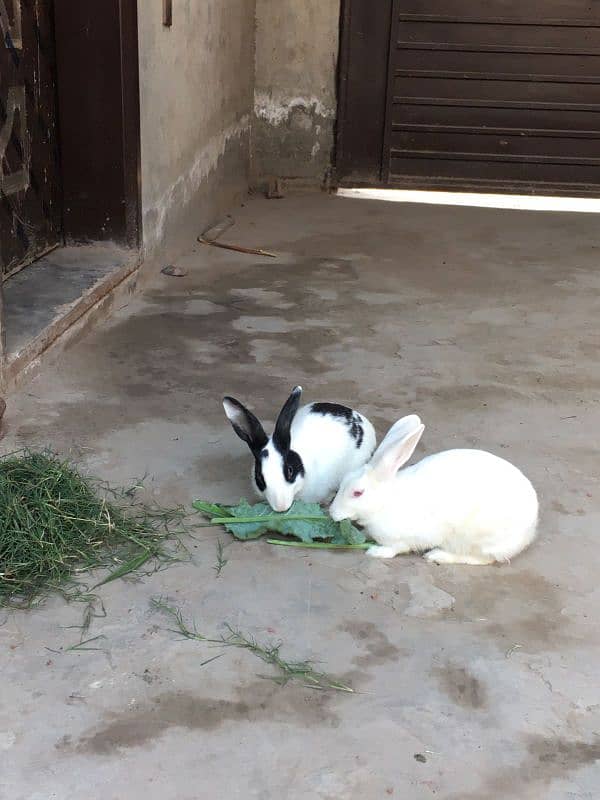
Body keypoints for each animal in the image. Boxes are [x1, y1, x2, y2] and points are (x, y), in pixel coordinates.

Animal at [328, 416, 540, 564]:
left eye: (357, 493)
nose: (332, 513)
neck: (384, 503)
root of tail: (529, 532)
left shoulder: (404, 538)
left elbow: (396, 548)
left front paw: (375, 552)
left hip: (476, 539)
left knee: (482, 559)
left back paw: (438, 556)